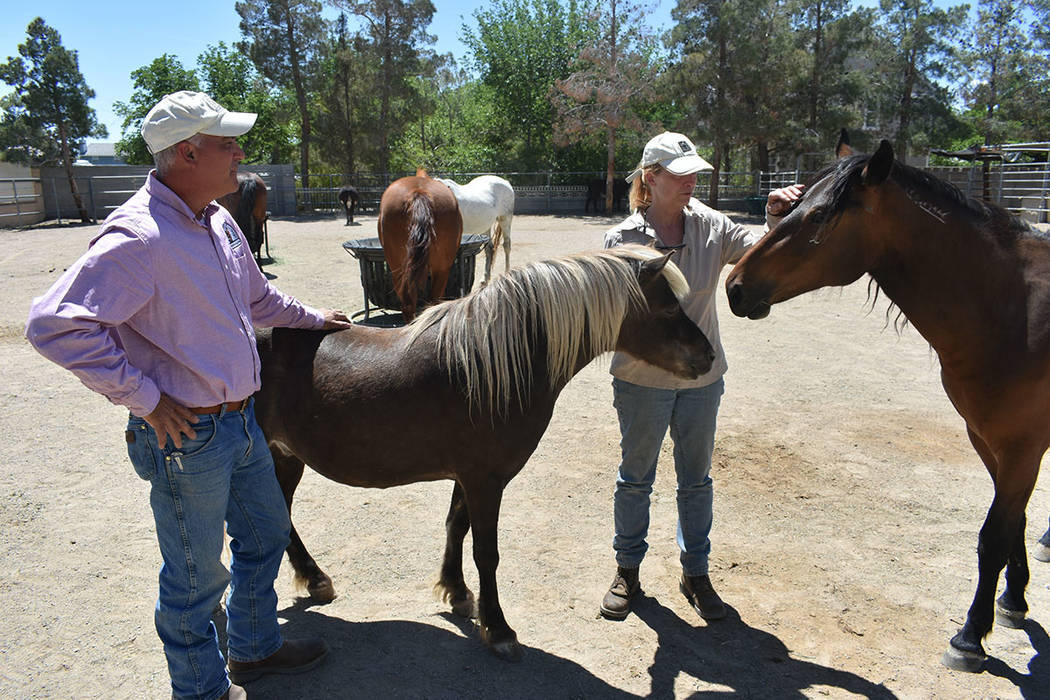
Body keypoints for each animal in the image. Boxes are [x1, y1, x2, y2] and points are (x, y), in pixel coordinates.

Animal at [253, 246, 713, 663]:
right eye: (668, 308)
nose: (708, 356)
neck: (491, 366)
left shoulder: (467, 478)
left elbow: (456, 528)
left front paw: (457, 593)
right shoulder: (485, 481)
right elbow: (486, 552)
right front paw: (498, 629)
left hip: (285, 457)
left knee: (282, 517)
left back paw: (315, 579)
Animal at [726, 134, 1050, 675]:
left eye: (819, 217)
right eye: (792, 205)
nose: (734, 287)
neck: (1015, 309)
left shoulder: (1022, 445)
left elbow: (994, 535)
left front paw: (970, 636)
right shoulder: (988, 438)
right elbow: (1013, 522)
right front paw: (1014, 600)